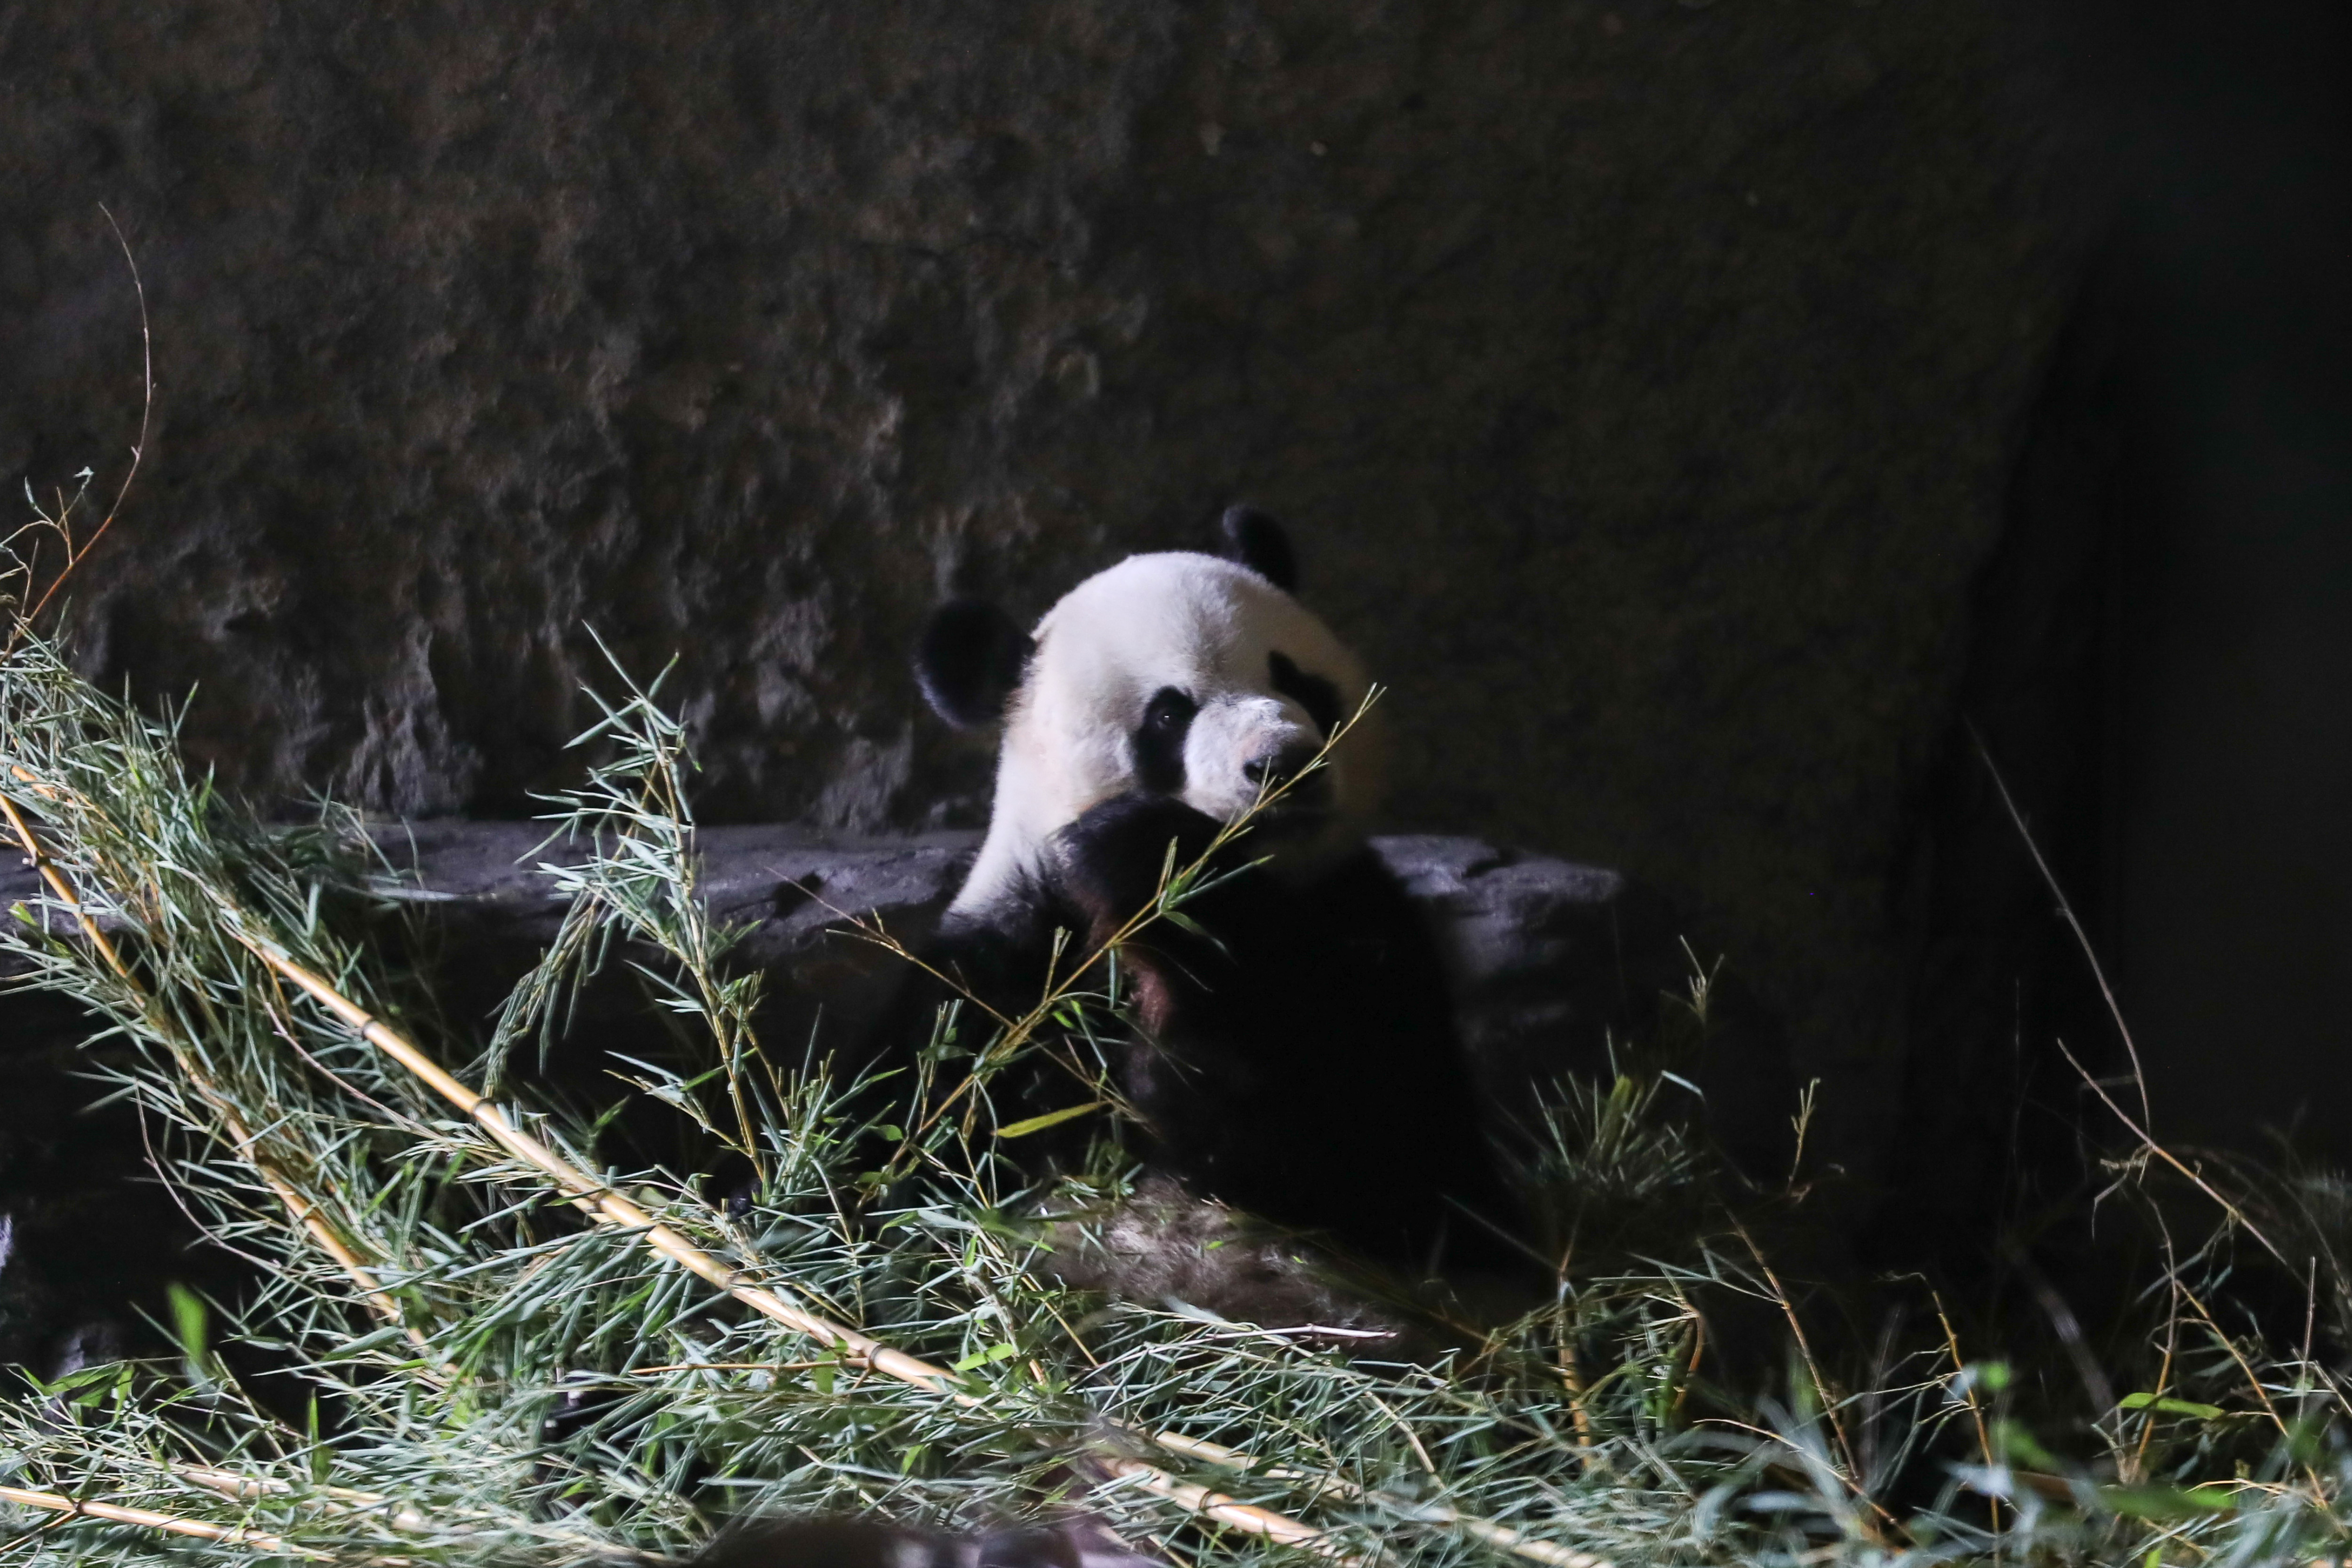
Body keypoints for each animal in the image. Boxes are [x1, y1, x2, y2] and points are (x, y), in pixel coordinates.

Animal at [893, 507, 1514, 1272]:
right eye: (1168, 715)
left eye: (1298, 680)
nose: (1283, 762)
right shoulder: (1000, 981)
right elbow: (921, 1135)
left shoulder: (1368, 936)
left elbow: (1385, 1165)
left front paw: (1146, 861)